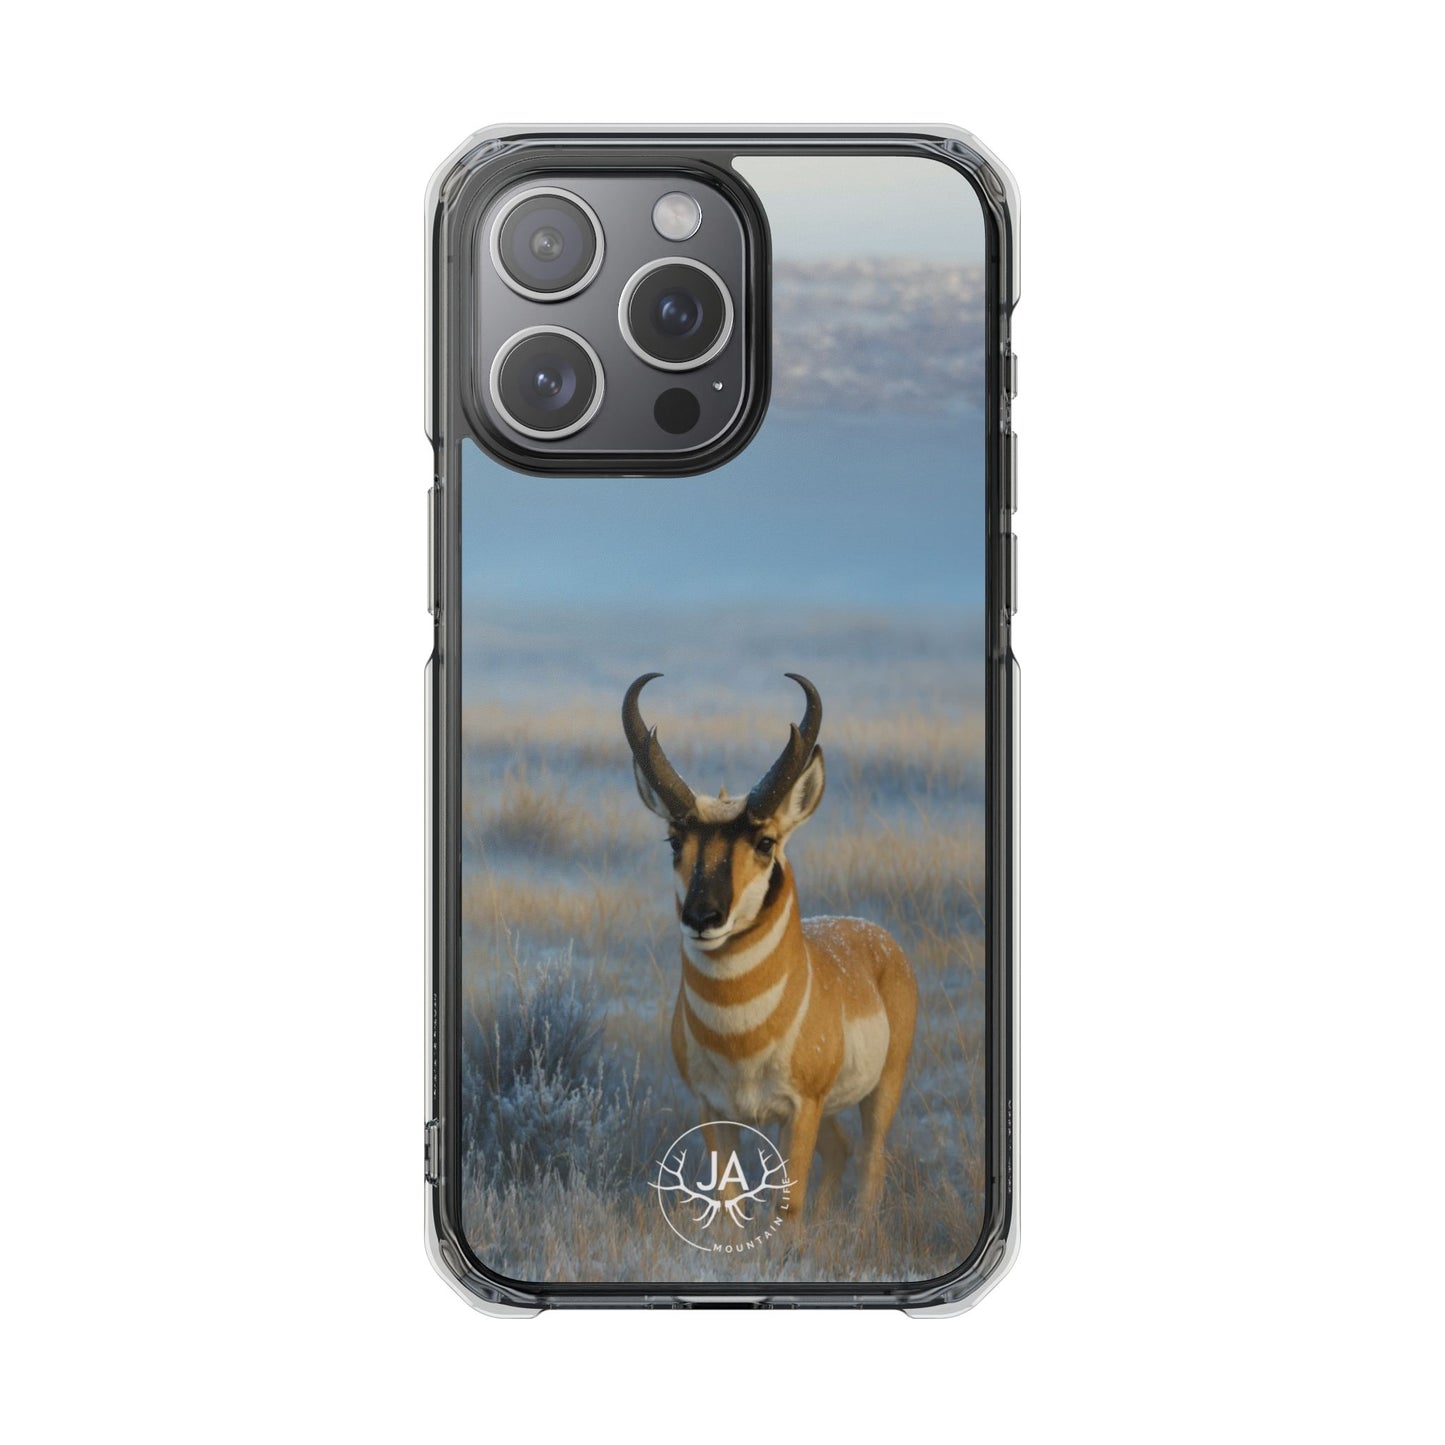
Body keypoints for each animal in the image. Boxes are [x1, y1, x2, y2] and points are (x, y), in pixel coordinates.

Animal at [622, 672, 918, 1218]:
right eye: (675, 840)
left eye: (765, 842)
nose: (702, 917)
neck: (741, 1035)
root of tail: (873, 935)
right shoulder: (714, 1111)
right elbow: (727, 1202)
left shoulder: (799, 1110)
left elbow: (787, 1203)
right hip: (829, 1112)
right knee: (842, 1150)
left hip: (882, 1089)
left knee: (871, 1159)